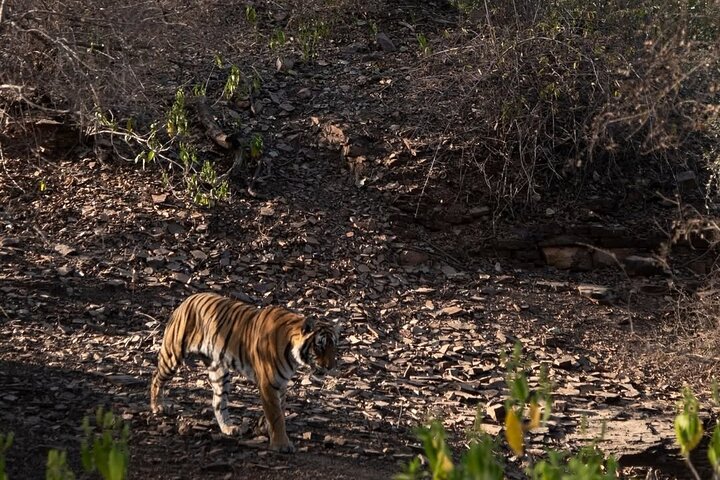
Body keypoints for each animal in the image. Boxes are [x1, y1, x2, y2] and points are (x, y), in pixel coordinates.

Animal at [149, 292, 338, 453]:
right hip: (173, 355)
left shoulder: (281, 384)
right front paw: (281, 444)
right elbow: (276, 415)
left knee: (218, 402)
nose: (330, 366)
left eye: (333, 345)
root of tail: (188, 298)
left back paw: (229, 428)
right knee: (156, 378)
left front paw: (264, 428)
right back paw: (158, 406)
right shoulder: (268, 383)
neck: (292, 355)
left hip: (219, 371)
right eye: (319, 346)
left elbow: (280, 409)